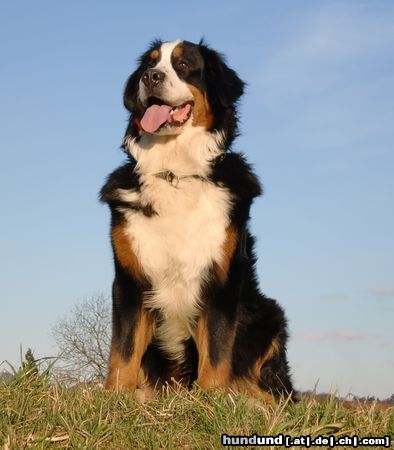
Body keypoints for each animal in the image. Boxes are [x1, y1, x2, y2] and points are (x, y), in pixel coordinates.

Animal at [100, 37, 294, 398]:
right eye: (150, 63)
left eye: (184, 65)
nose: (151, 77)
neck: (174, 173)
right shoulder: (130, 278)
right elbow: (123, 350)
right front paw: (116, 398)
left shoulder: (222, 278)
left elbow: (216, 351)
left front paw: (212, 400)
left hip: (269, 314)